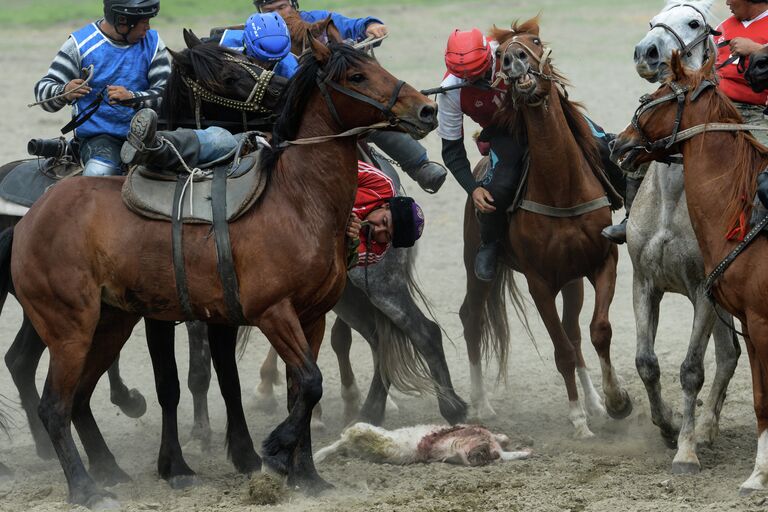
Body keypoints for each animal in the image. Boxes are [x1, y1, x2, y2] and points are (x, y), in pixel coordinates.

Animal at [0, 32, 438, 508]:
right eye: (357, 75)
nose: (425, 109)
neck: (296, 200)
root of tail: (29, 219)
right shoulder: (270, 313)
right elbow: (303, 383)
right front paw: (269, 452)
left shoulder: (310, 317)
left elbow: (297, 389)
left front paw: (306, 475)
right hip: (69, 329)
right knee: (52, 404)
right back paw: (85, 488)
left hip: (110, 323)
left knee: (76, 397)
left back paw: (109, 469)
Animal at [462, 19, 632, 436]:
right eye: (501, 51)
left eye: (535, 41)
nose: (514, 59)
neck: (561, 188)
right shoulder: (539, 284)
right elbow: (562, 352)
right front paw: (577, 420)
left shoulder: (602, 263)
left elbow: (597, 331)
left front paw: (615, 400)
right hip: (477, 269)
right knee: (471, 320)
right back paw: (481, 404)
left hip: (571, 283)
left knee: (575, 331)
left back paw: (595, 402)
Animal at [612, 51, 768, 492]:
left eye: (655, 98)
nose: (618, 143)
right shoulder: (645, 285)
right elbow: (646, 362)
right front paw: (667, 427)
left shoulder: (705, 294)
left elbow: (691, 370)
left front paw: (685, 452)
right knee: (729, 355)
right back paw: (706, 427)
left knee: (726, 358)